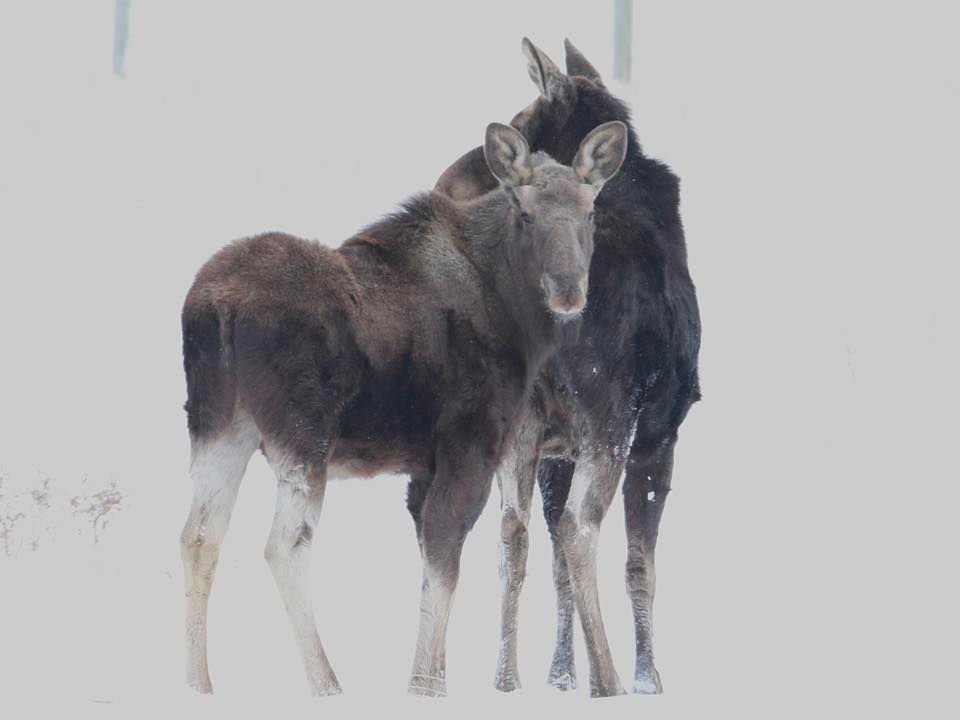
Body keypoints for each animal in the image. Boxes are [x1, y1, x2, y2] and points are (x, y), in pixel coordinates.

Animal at [179, 119, 628, 697]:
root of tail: (217, 308)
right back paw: (328, 684)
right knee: (284, 546)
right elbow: (444, 566)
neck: (515, 315)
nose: (568, 290)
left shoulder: (424, 467)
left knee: (199, 536)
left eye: (589, 212)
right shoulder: (470, 447)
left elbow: (432, 566)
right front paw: (423, 687)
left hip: (220, 424)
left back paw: (198, 685)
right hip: (303, 436)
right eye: (525, 213)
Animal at [423, 38, 701, 697]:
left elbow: (551, 562)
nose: (447, 181)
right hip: (610, 419)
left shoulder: (555, 445)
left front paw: (558, 674)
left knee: (511, 531)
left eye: (521, 125)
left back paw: (503, 677)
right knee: (579, 529)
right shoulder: (660, 431)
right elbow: (639, 564)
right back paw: (609, 678)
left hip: (520, 423)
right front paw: (649, 679)